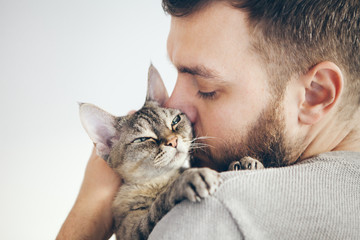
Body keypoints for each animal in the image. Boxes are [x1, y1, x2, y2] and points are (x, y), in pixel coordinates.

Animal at [79, 64, 222, 240]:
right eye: (143, 139)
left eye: (175, 121)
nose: (173, 141)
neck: (161, 181)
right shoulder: (130, 230)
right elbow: (159, 204)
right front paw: (187, 180)